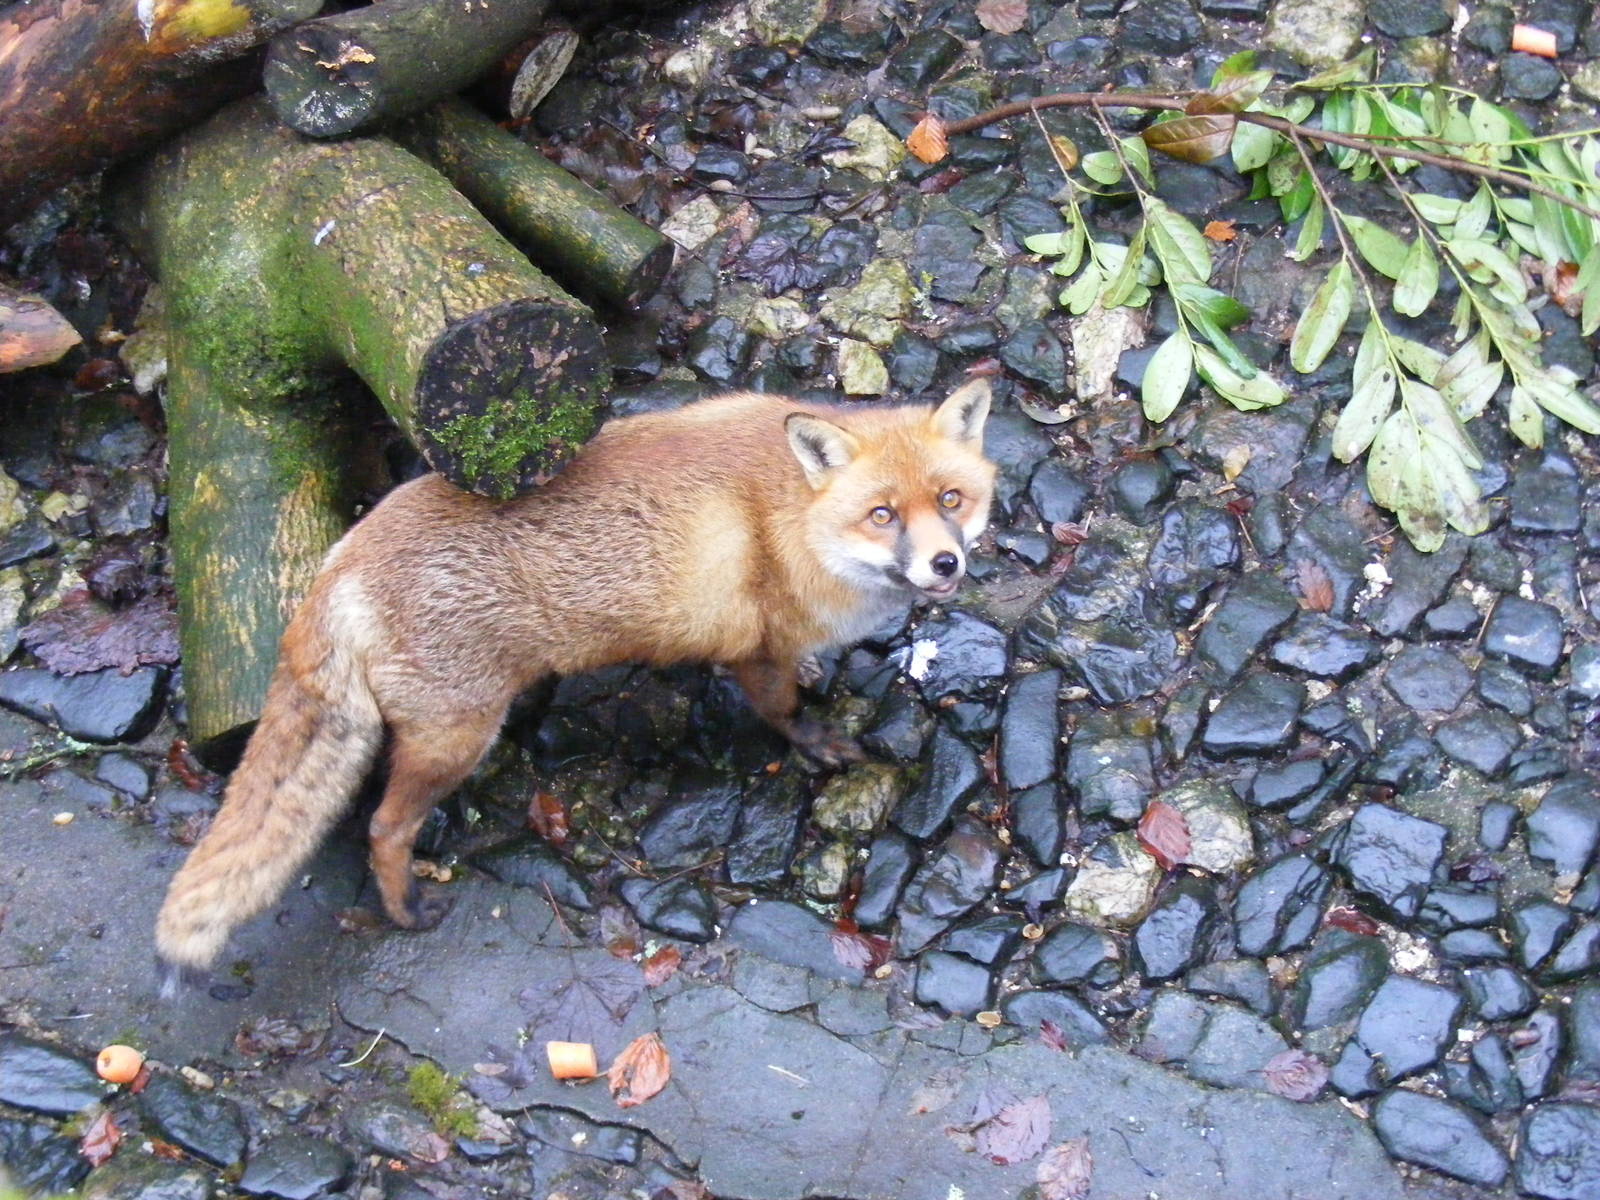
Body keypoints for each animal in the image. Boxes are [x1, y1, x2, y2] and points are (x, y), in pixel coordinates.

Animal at [154, 379, 996, 993]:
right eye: (882, 515)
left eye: (951, 500)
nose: (944, 564)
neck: (794, 520)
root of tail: (337, 569)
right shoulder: (754, 647)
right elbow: (782, 709)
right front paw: (817, 742)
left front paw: (821, 670)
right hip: (456, 737)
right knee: (384, 828)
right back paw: (404, 907)